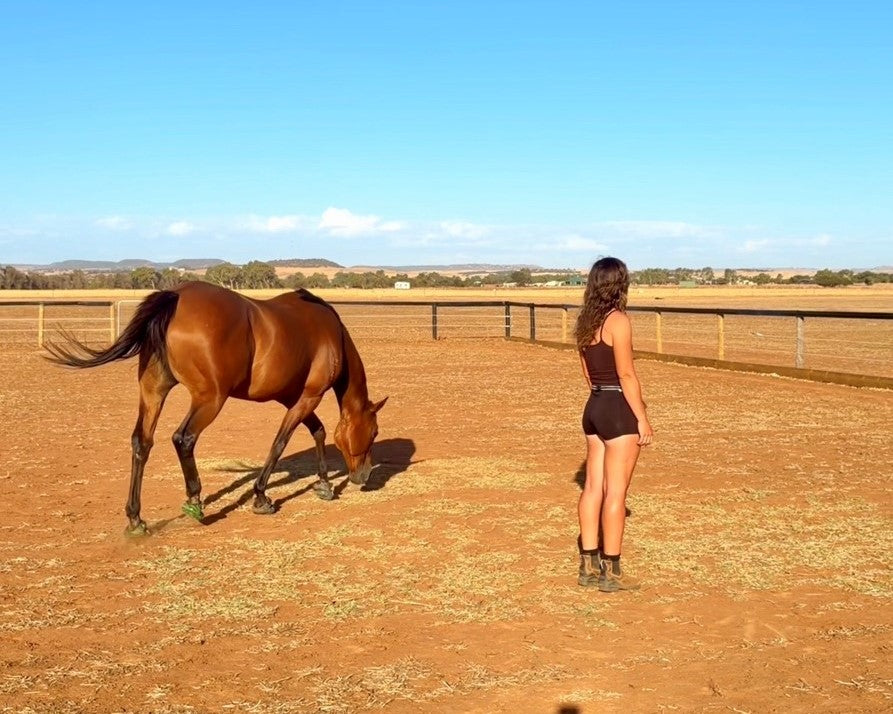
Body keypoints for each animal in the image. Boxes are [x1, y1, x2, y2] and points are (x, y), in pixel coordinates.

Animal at [45, 281, 387, 535]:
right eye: (374, 432)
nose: (364, 476)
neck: (330, 333)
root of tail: (176, 296)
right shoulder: (307, 397)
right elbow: (281, 443)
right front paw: (261, 497)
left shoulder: (293, 398)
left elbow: (318, 431)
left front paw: (324, 483)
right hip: (210, 399)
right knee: (183, 439)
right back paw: (195, 501)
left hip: (154, 392)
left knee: (142, 442)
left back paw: (136, 518)